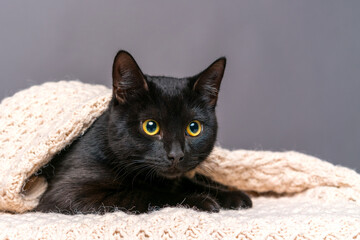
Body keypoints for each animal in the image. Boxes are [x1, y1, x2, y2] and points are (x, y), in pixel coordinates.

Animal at [35, 50, 252, 214]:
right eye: (151, 126)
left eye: (193, 128)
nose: (176, 155)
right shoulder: (69, 194)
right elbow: (144, 194)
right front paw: (201, 201)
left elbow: (185, 182)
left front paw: (232, 195)